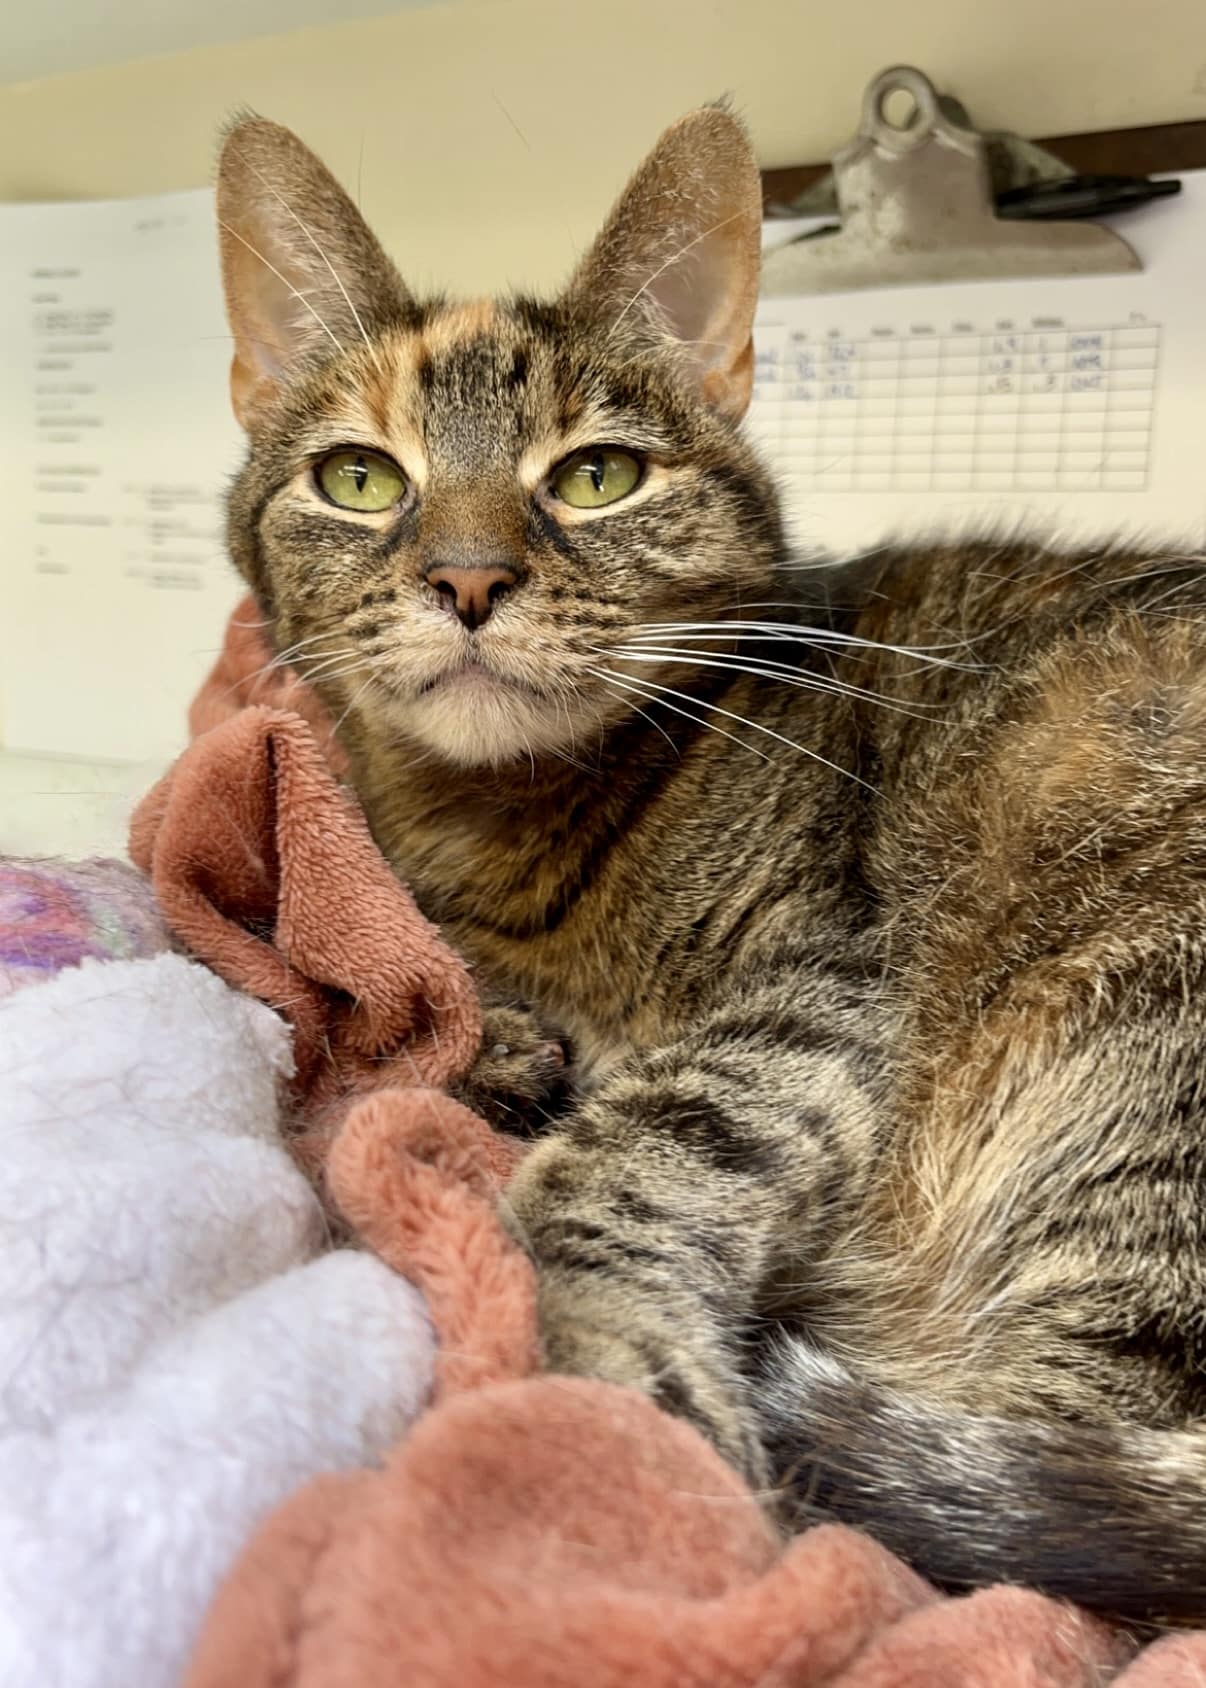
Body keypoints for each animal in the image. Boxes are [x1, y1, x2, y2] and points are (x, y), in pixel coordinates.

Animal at [213, 102, 1202, 1620]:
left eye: (598, 476)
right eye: (360, 479)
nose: (466, 578)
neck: (496, 826)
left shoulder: (816, 987)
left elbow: (633, 1150)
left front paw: (618, 1385)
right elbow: (371, 1000)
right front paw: (489, 1042)